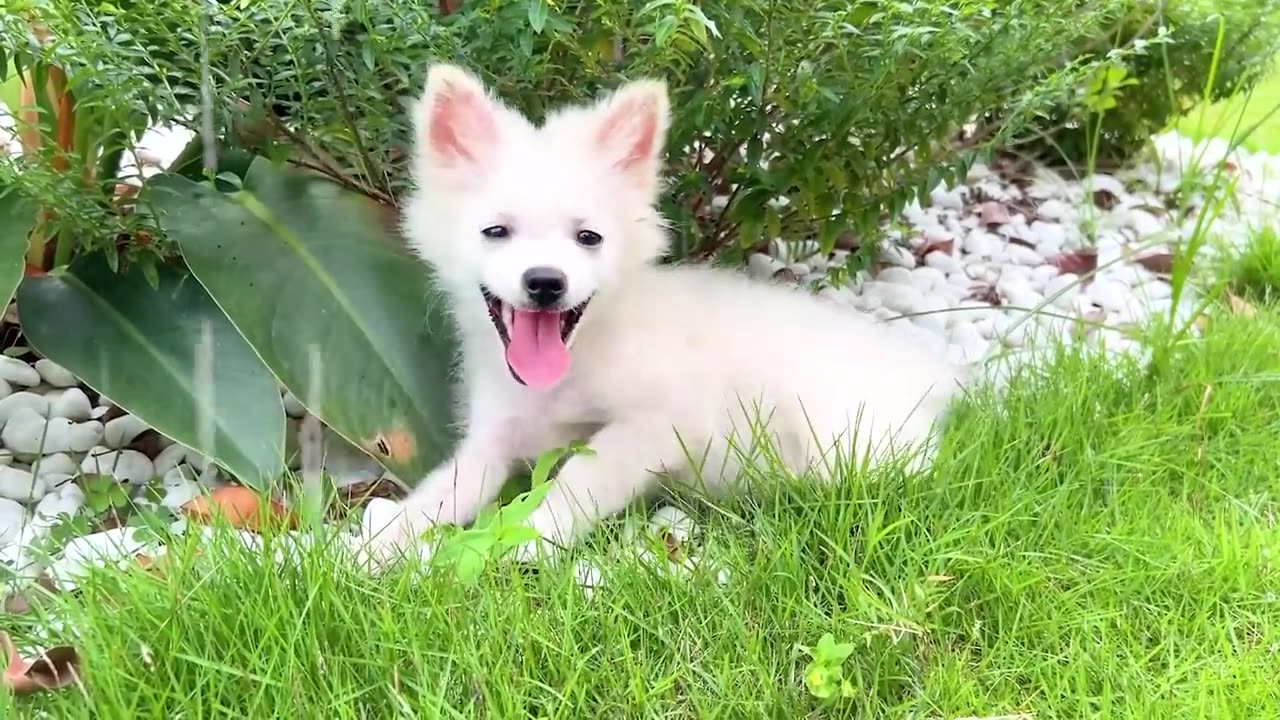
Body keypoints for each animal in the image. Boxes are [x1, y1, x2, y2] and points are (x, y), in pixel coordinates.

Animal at [371, 63, 962, 561]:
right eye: (496, 231)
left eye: (588, 238)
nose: (545, 283)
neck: (580, 357)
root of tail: (922, 372)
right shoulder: (495, 437)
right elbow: (444, 490)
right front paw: (374, 547)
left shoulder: (666, 421)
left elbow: (582, 476)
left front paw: (533, 539)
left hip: (838, 437)